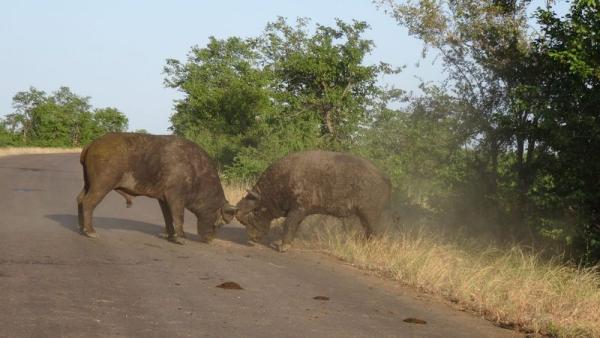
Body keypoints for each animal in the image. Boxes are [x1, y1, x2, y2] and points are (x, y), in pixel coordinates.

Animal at [75, 132, 234, 243]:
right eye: (220, 223)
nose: (210, 239)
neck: (196, 174)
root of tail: (91, 144)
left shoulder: (163, 199)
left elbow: (168, 217)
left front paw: (171, 237)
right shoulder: (175, 197)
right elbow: (179, 216)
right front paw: (181, 238)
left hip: (88, 183)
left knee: (80, 199)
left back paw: (81, 228)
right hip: (102, 183)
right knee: (88, 202)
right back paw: (91, 232)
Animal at [237, 150, 392, 251]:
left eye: (254, 213)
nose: (253, 238)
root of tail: (385, 178)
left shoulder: (298, 209)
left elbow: (288, 224)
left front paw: (284, 246)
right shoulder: (300, 212)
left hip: (369, 215)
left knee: (374, 233)